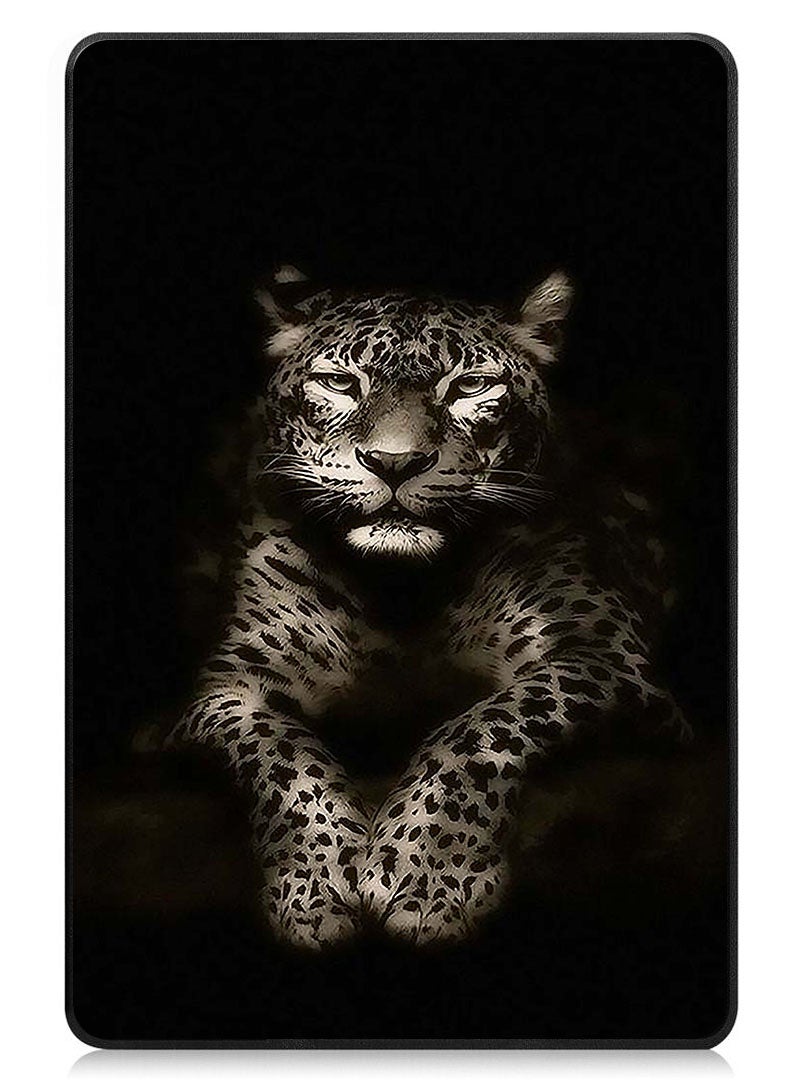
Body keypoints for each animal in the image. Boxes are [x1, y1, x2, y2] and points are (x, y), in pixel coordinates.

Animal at [166, 265, 691, 950]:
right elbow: (281, 759)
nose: (395, 462)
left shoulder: (602, 653)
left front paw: (427, 877)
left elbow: (483, 729)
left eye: (470, 386)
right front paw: (316, 889)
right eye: (340, 383)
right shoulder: (228, 687)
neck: (402, 593)